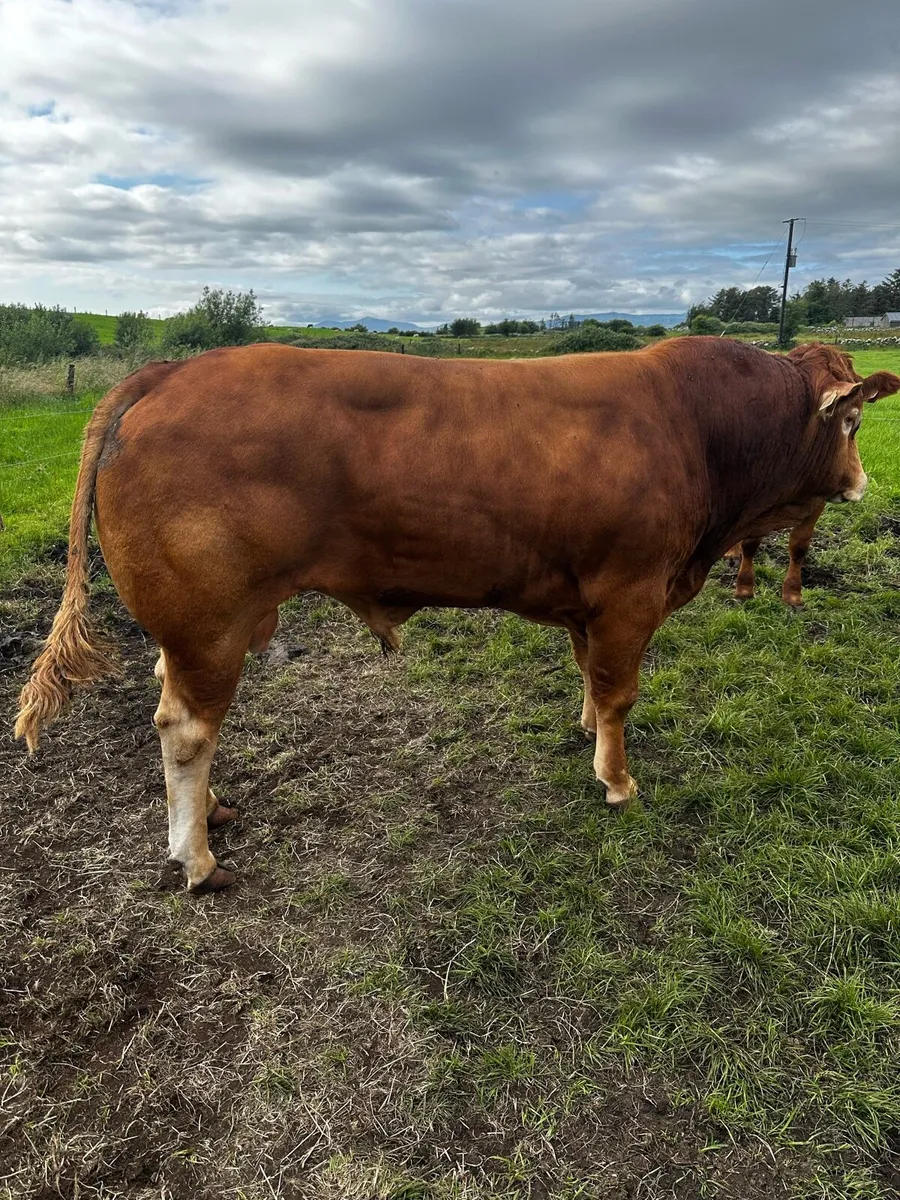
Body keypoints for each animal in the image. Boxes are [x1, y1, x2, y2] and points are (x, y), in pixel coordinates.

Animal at [15, 339, 899, 892]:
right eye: (853, 421)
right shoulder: (632, 591)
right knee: (186, 730)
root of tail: (171, 371)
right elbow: (620, 690)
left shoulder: (588, 597)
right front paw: (617, 779)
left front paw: (585, 727)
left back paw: (213, 812)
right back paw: (196, 858)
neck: (700, 430)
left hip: (197, 629)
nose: (860, 482)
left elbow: (589, 674)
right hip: (211, 621)